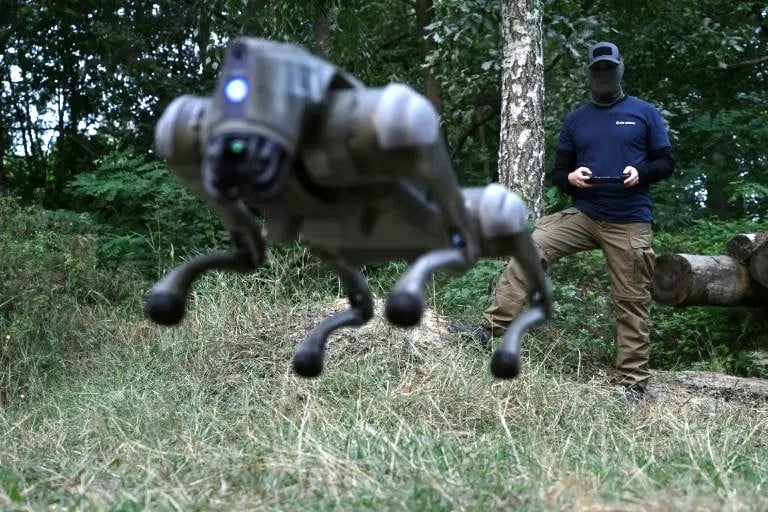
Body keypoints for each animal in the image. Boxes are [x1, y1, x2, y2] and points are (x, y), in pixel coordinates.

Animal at [146, 36, 552, 378]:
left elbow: (409, 123)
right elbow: (245, 245)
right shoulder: (180, 134)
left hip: (489, 213)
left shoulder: (391, 120)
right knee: (360, 299)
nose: (237, 166)